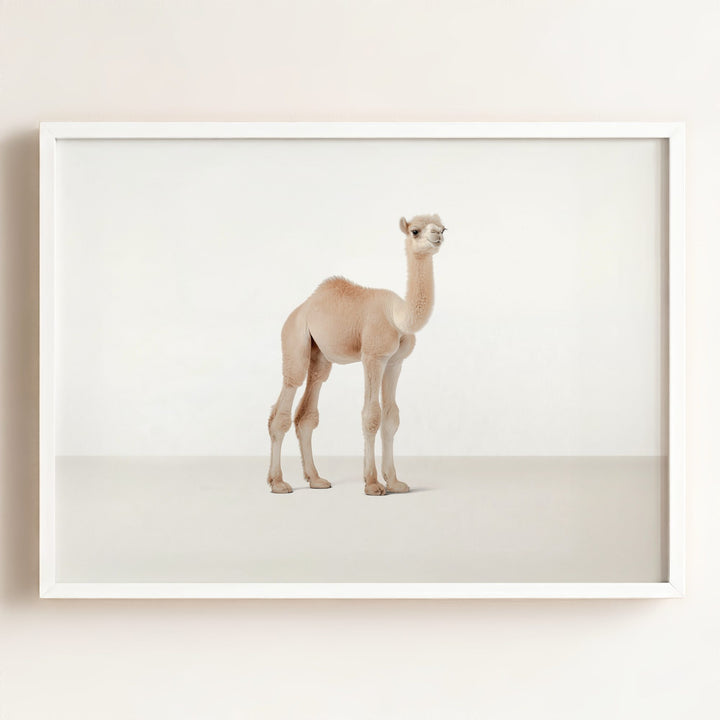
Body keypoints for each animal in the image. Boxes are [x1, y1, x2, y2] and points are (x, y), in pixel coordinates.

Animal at [267, 214, 445, 495]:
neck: (398, 316)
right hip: (294, 338)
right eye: (415, 231)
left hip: (320, 355)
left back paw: (316, 479)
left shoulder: (395, 362)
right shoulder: (373, 356)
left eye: (444, 228)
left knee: (308, 409)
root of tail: (301, 308)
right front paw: (372, 483)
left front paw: (395, 482)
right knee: (286, 398)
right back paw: (278, 483)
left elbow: (391, 417)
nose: (437, 234)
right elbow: (371, 415)